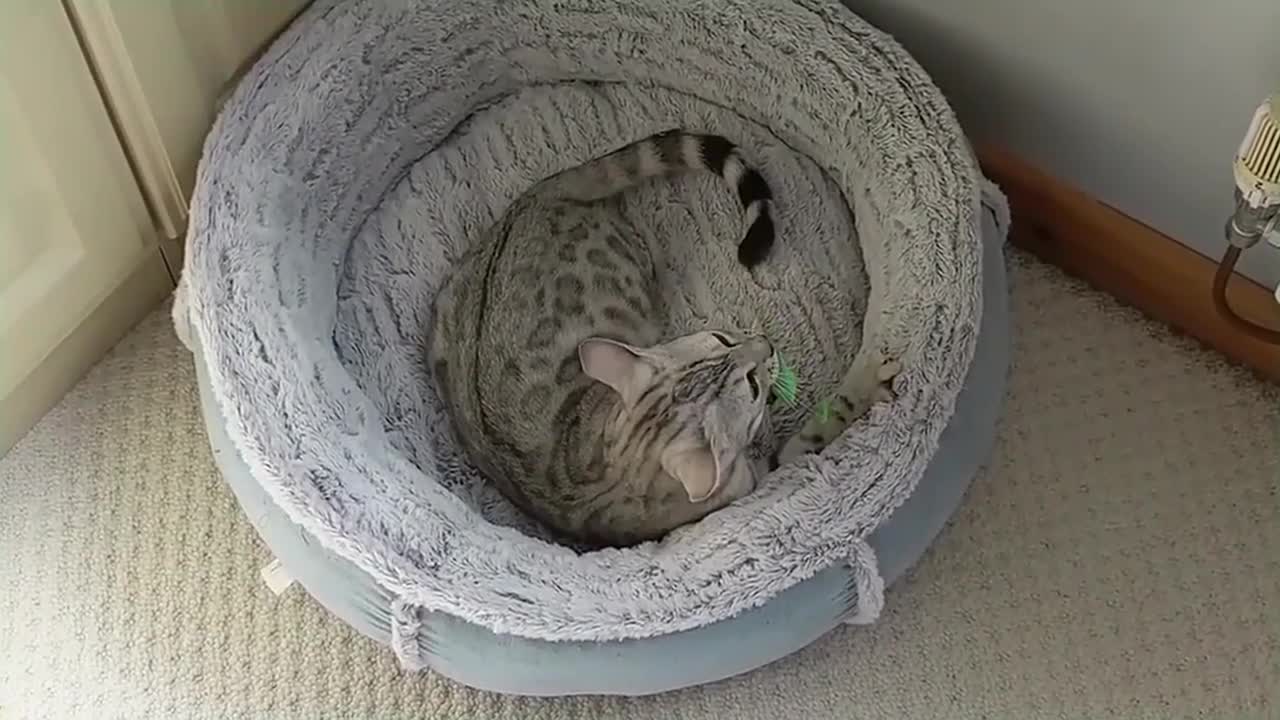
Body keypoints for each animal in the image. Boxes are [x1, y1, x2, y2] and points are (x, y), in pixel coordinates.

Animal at [435, 130, 896, 543]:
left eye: (721, 338)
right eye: (751, 386)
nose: (765, 344)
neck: (618, 466)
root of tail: (536, 197)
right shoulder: (761, 474)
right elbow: (815, 434)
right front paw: (866, 384)